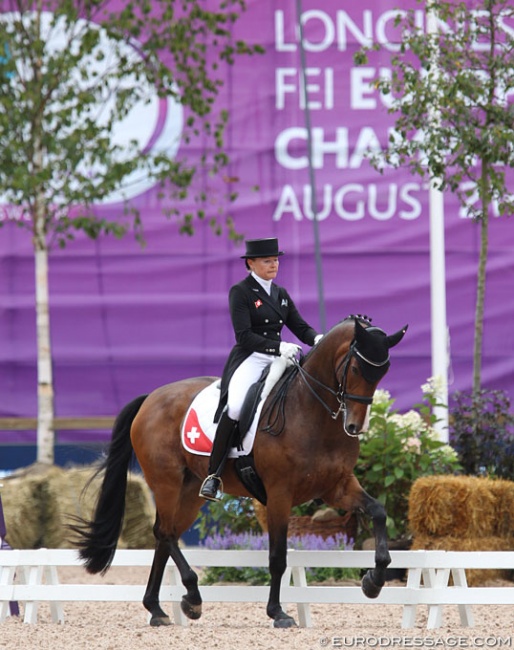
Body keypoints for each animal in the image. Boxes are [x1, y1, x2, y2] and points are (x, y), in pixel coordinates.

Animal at [73, 316, 404, 624]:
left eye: (384, 371)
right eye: (357, 369)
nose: (355, 427)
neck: (311, 413)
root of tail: (151, 397)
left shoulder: (337, 487)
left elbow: (378, 512)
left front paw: (373, 582)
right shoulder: (279, 494)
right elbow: (277, 557)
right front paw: (277, 613)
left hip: (190, 491)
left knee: (167, 536)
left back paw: (158, 608)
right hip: (166, 482)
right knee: (164, 533)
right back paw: (191, 596)